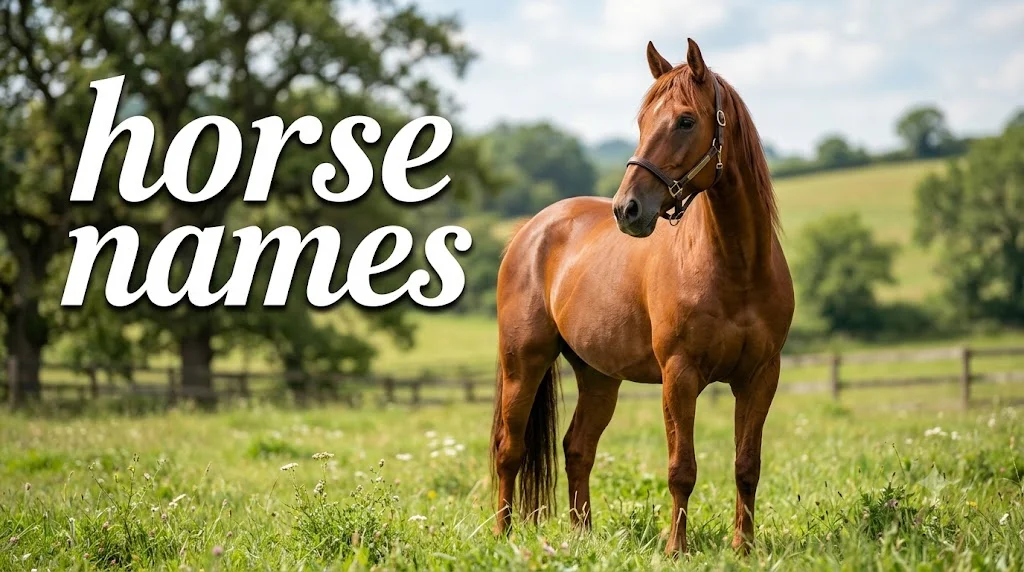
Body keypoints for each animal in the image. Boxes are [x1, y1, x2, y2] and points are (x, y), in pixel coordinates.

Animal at [489, 38, 794, 555]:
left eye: (686, 121)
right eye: (641, 122)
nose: (627, 209)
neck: (736, 267)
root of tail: (530, 231)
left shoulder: (760, 376)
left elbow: (746, 466)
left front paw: (744, 548)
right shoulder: (679, 375)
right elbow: (681, 469)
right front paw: (676, 548)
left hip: (598, 376)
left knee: (578, 448)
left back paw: (582, 535)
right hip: (523, 363)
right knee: (510, 450)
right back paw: (502, 535)